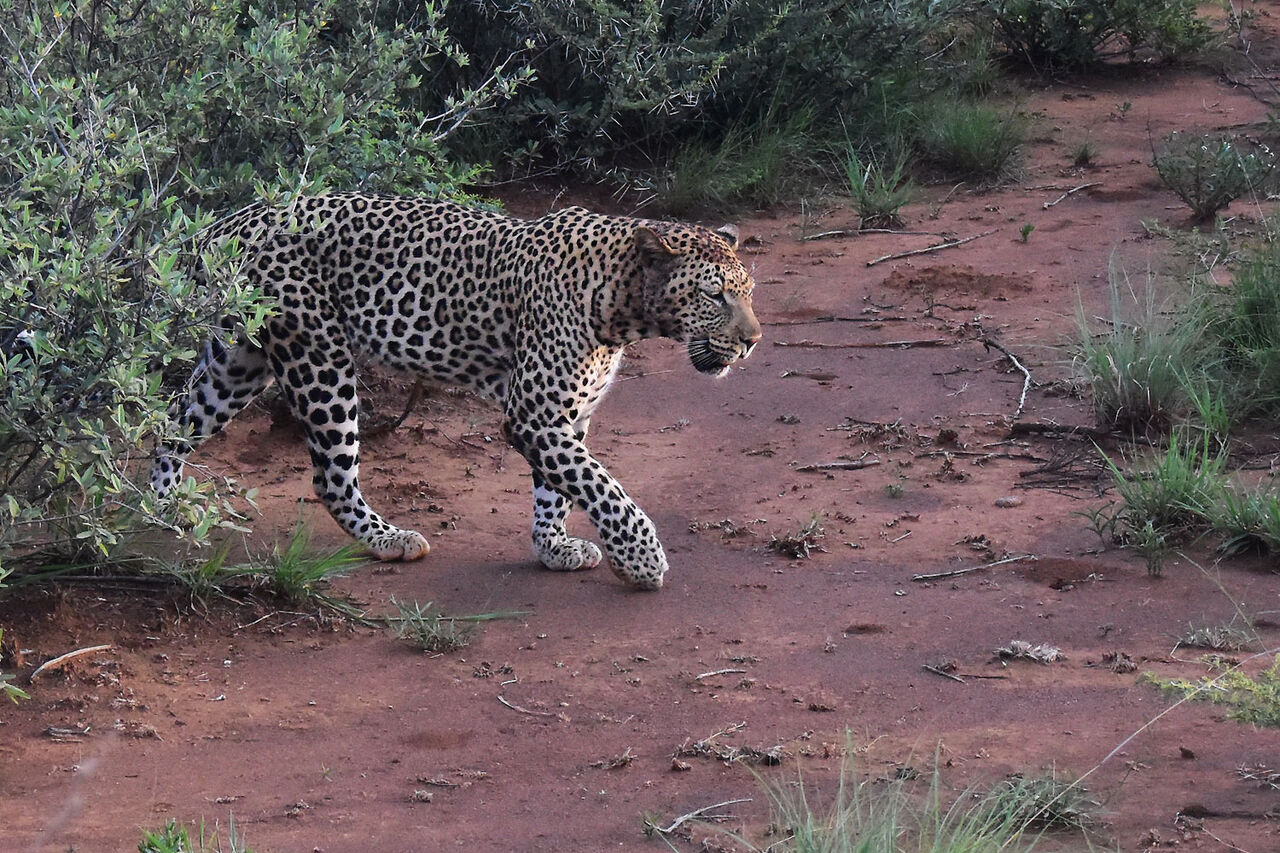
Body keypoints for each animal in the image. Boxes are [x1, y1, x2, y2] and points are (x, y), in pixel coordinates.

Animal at [151, 192, 761, 590]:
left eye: (750, 291)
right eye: (714, 296)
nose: (753, 341)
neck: (620, 303)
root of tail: (231, 221)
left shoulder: (567, 415)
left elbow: (560, 488)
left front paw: (553, 547)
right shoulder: (535, 414)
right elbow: (602, 487)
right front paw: (642, 560)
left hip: (237, 362)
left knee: (171, 424)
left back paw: (159, 510)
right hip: (319, 358)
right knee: (331, 476)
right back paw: (388, 540)